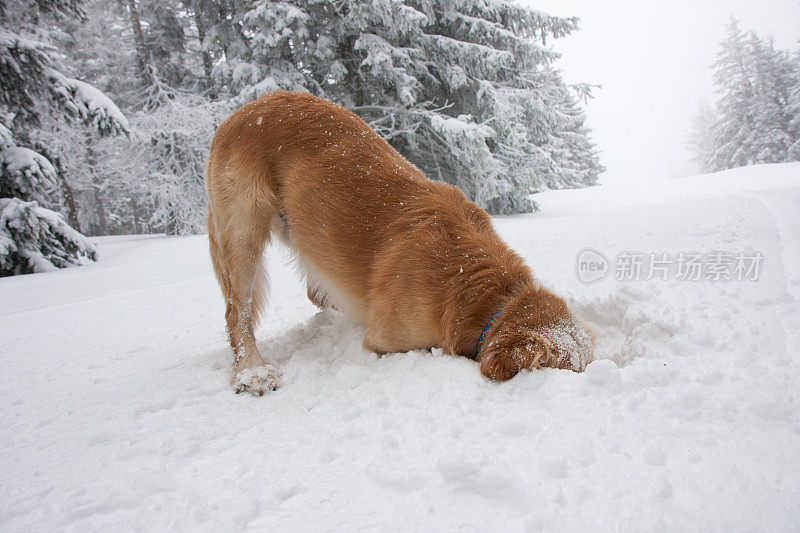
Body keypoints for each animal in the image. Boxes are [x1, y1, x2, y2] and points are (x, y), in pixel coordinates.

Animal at [206, 89, 592, 392]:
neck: (488, 293)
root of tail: (243, 110)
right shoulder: (388, 338)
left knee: (314, 292)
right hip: (243, 230)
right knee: (236, 312)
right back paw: (252, 371)